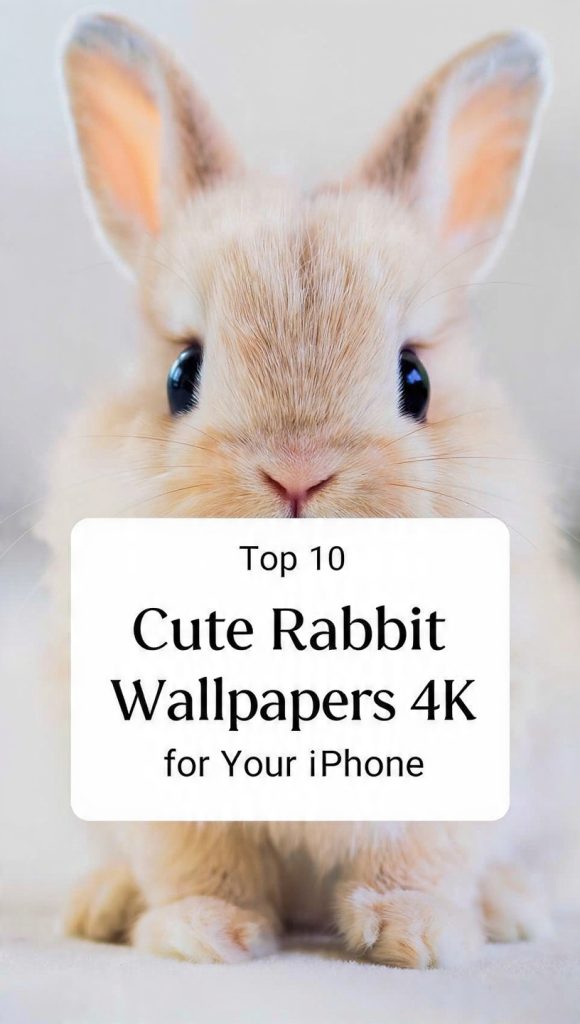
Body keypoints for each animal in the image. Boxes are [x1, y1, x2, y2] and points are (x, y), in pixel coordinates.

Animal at [38, 13, 580, 967]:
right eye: (182, 373)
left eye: (415, 381)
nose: (298, 470)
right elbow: (199, 860)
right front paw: (205, 936)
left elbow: (418, 857)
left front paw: (418, 939)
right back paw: (101, 905)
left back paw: (509, 908)